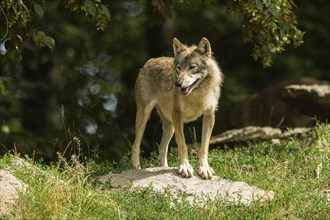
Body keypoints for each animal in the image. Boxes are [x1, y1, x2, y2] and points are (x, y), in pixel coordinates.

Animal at [130, 37, 223, 179]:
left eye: (192, 67)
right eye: (179, 68)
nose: (178, 84)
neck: (197, 94)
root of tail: (149, 61)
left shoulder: (209, 115)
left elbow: (204, 147)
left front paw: (204, 168)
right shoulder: (177, 115)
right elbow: (182, 145)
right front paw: (185, 167)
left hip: (170, 126)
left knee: (161, 148)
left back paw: (164, 168)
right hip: (145, 116)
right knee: (135, 146)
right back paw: (136, 168)